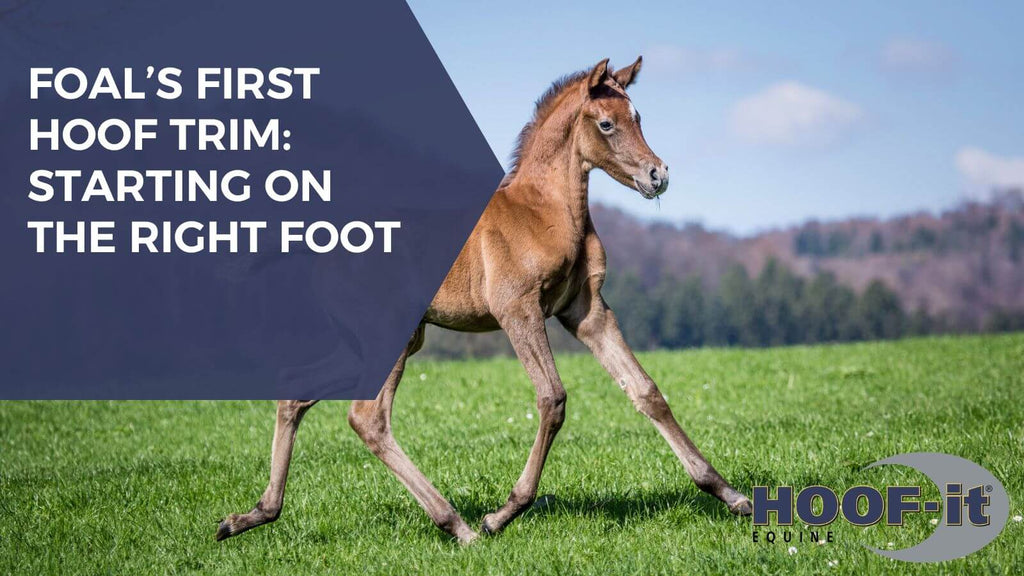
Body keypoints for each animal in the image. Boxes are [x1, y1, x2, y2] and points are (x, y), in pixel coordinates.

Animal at [216, 56, 752, 544]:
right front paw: (504, 513)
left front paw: (730, 495)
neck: (547, 212)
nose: (657, 174)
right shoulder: (518, 310)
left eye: (639, 117)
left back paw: (251, 516)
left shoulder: (587, 312)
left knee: (297, 394)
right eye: (606, 124)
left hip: (397, 340)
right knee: (368, 417)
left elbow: (646, 392)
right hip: (389, 337)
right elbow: (552, 399)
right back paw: (461, 527)